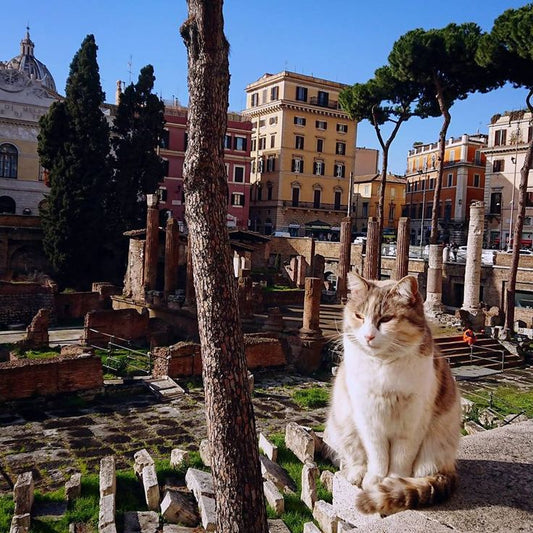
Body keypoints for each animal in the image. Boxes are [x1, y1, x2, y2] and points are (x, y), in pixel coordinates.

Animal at [324, 272, 462, 512]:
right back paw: (356, 474)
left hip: (438, 444)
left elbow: (401, 458)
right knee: (354, 456)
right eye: (359, 316)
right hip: (342, 425)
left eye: (386, 319)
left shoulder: (413, 423)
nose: (368, 336)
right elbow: (377, 454)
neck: (383, 365)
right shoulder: (368, 420)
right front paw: (374, 479)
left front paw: (392, 482)